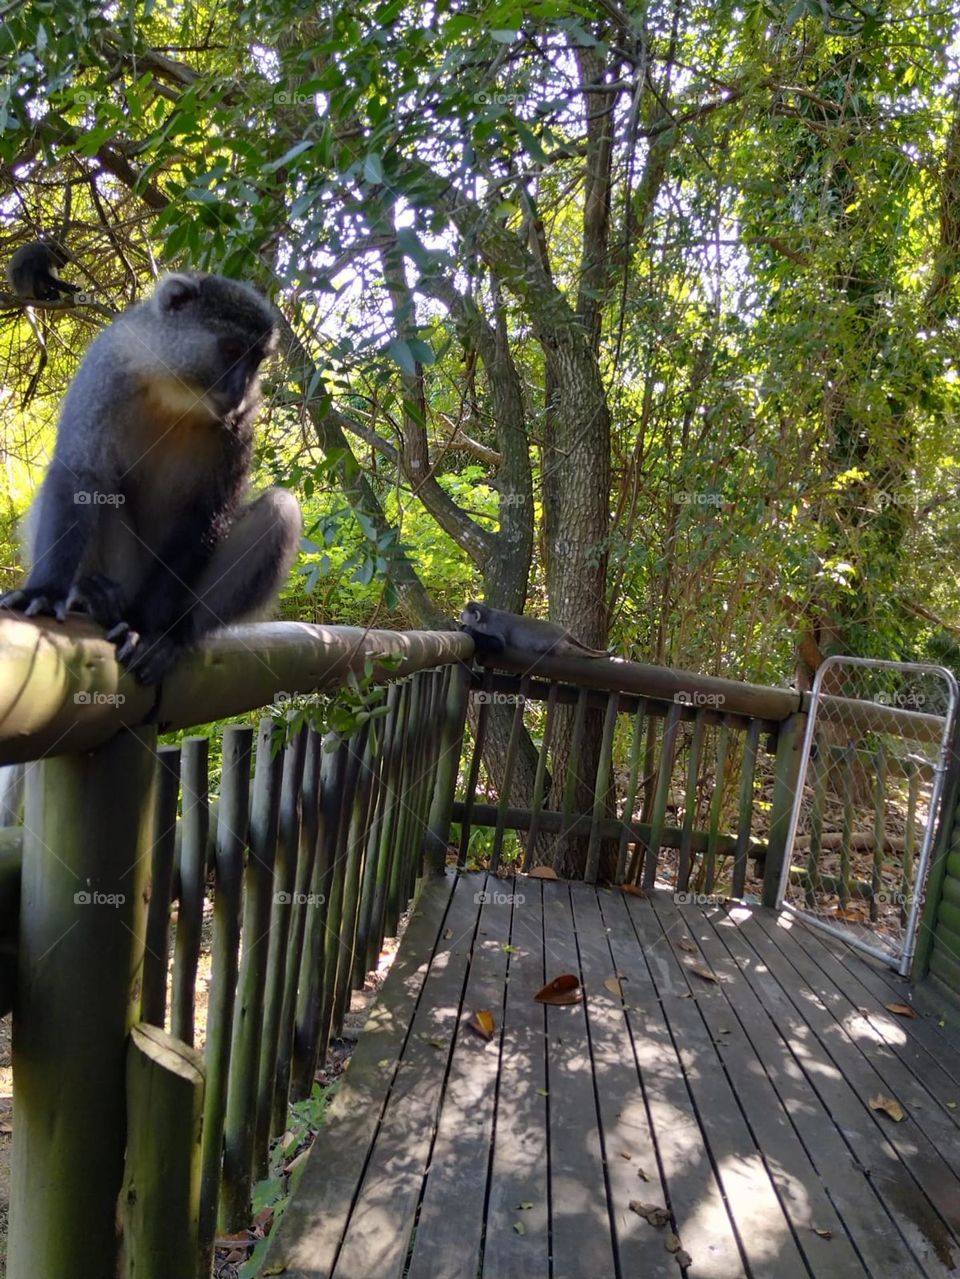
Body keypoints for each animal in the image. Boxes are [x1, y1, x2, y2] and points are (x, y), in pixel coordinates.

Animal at [0, 272, 302, 685]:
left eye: (255, 361)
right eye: (231, 350)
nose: (239, 389)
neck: (176, 391)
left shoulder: (242, 419)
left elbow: (208, 514)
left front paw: (148, 632)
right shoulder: (108, 365)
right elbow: (81, 473)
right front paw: (45, 591)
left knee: (280, 510)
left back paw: (175, 630)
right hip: (126, 575)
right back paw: (92, 596)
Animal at [459, 601, 612, 659]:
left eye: (465, 612)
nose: (461, 614)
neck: (485, 618)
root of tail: (562, 631)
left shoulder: (493, 625)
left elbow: (499, 644)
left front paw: (470, 631)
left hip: (555, 644)